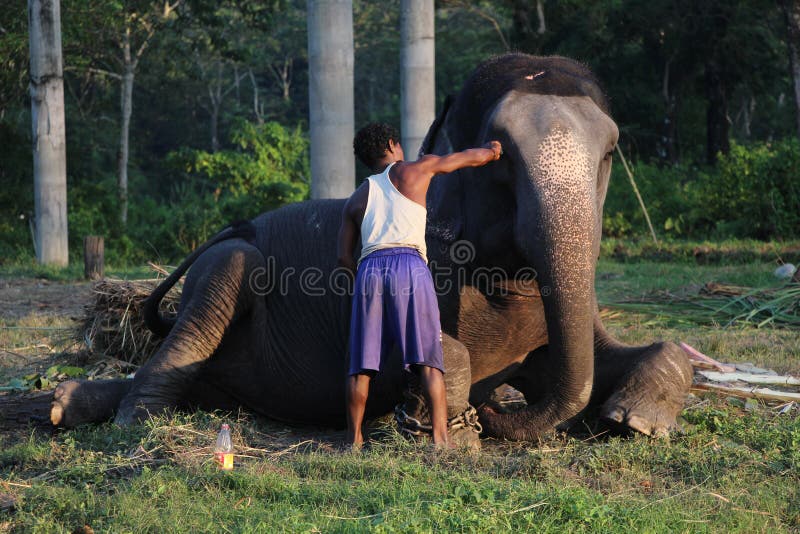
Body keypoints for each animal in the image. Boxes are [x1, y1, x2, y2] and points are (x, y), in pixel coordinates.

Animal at [48, 54, 692, 446]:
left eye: (609, 154)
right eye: (500, 156)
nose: (495, 410)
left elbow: (638, 352)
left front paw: (635, 423)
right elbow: (423, 347)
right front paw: (455, 427)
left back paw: (66, 402)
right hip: (222, 263)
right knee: (210, 304)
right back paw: (128, 423)